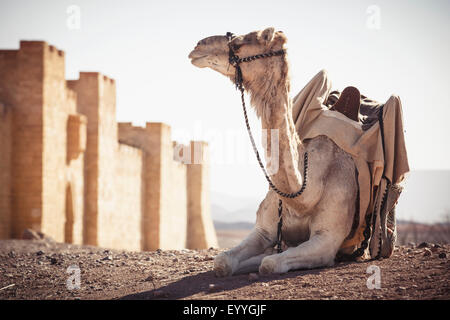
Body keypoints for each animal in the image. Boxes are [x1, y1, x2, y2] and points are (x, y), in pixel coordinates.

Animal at [188, 28, 364, 276]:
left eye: (239, 44)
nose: (197, 47)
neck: (306, 194)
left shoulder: (328, 239)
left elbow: (270, 264)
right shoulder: (263, 230)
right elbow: (224, 261)